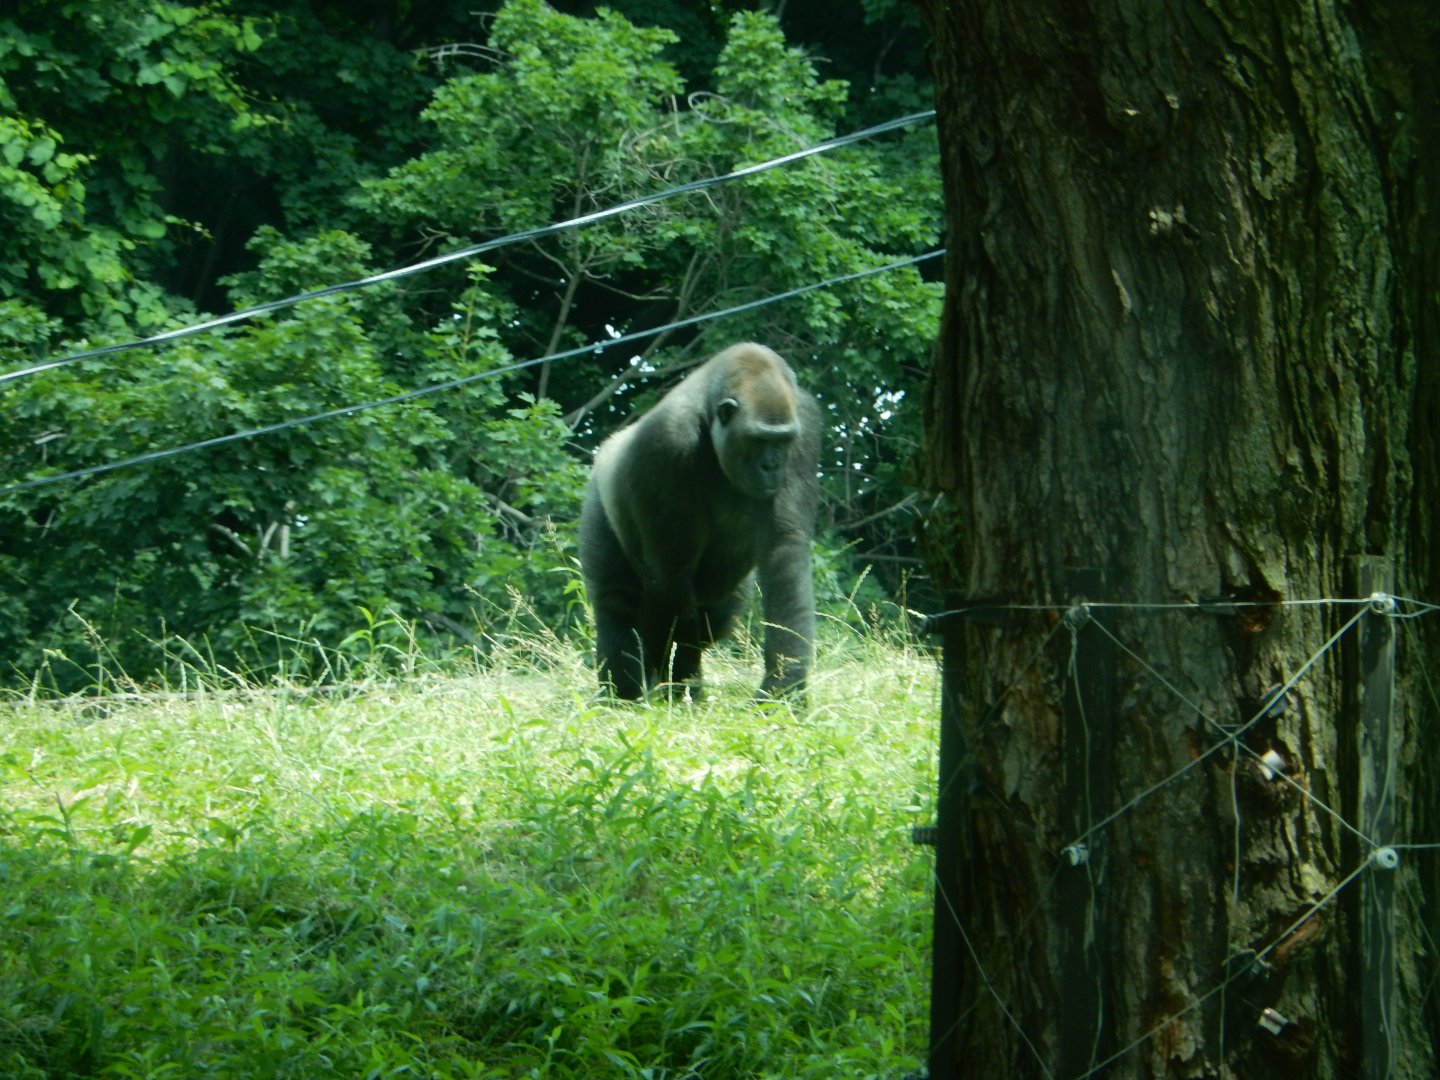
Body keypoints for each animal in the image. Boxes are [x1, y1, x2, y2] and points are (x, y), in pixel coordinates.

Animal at [579, 342, 821, 701]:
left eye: (781, 441)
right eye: (759, 440)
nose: (771, 466)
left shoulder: (804, 425)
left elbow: (784, 550)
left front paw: (784, 686)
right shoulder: (666, 441)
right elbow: (671, 576)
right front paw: (677, 681)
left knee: (716, 615)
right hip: (598, 493)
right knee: (618, 604)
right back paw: (625, 692)